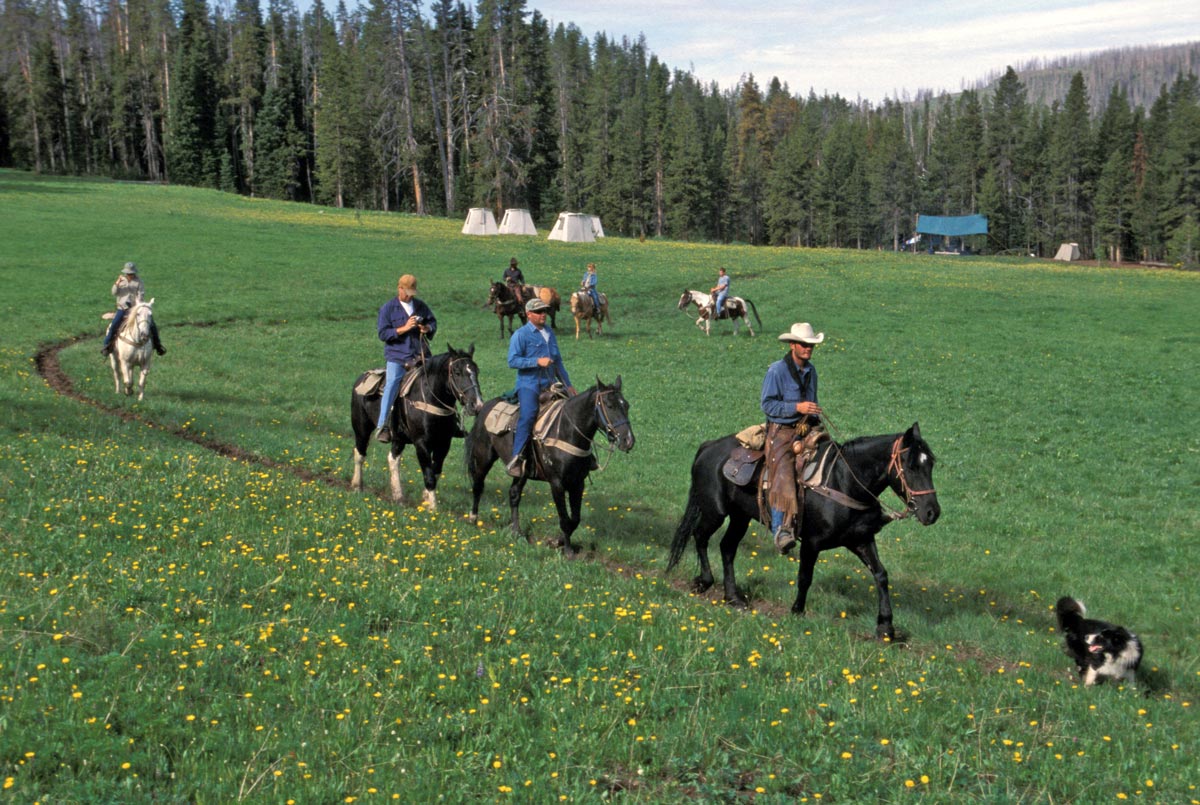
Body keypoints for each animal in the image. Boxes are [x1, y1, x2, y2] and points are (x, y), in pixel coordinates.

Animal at [348, 345, 482, 511]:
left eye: (477, 371)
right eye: (457, 372)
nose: (477, 405)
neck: (429, 399)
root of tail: (362, 378)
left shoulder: (444, 443)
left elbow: (435, 471)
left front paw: (425, 499)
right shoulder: (421, 443)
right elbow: (429, 475)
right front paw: (433, 508)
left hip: (398, 438)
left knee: (393, 459)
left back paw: (398, 496)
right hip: (362, 429)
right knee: (359, 454)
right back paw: (357, 486)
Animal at [465, 379, 638, 556]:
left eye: (626, 405)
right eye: (610, 405)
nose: (628, 440)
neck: (567, 432)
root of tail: (484, 407)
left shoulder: (578, 483)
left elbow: (575, 519)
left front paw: (557, 541)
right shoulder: (557, 484)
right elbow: (564, 518)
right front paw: (568, 551)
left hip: (521, 472)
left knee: (514, 494)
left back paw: (516, 531)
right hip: (484, 458)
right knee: (478, 485)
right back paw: (473, 518)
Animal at [667, 424, 936, 638]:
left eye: (931, 464)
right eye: (911, 466)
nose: (932, 512)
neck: (843, 482)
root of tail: (709, 447)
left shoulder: (861, 539)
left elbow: (881, 575)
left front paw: (886, 626)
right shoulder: (811, 542)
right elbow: (805, 577)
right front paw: (797, 611)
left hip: (739, 517)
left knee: (727, 548)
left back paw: (733, 597)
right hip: (715, 511)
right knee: (700, 537)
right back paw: (704, 582)